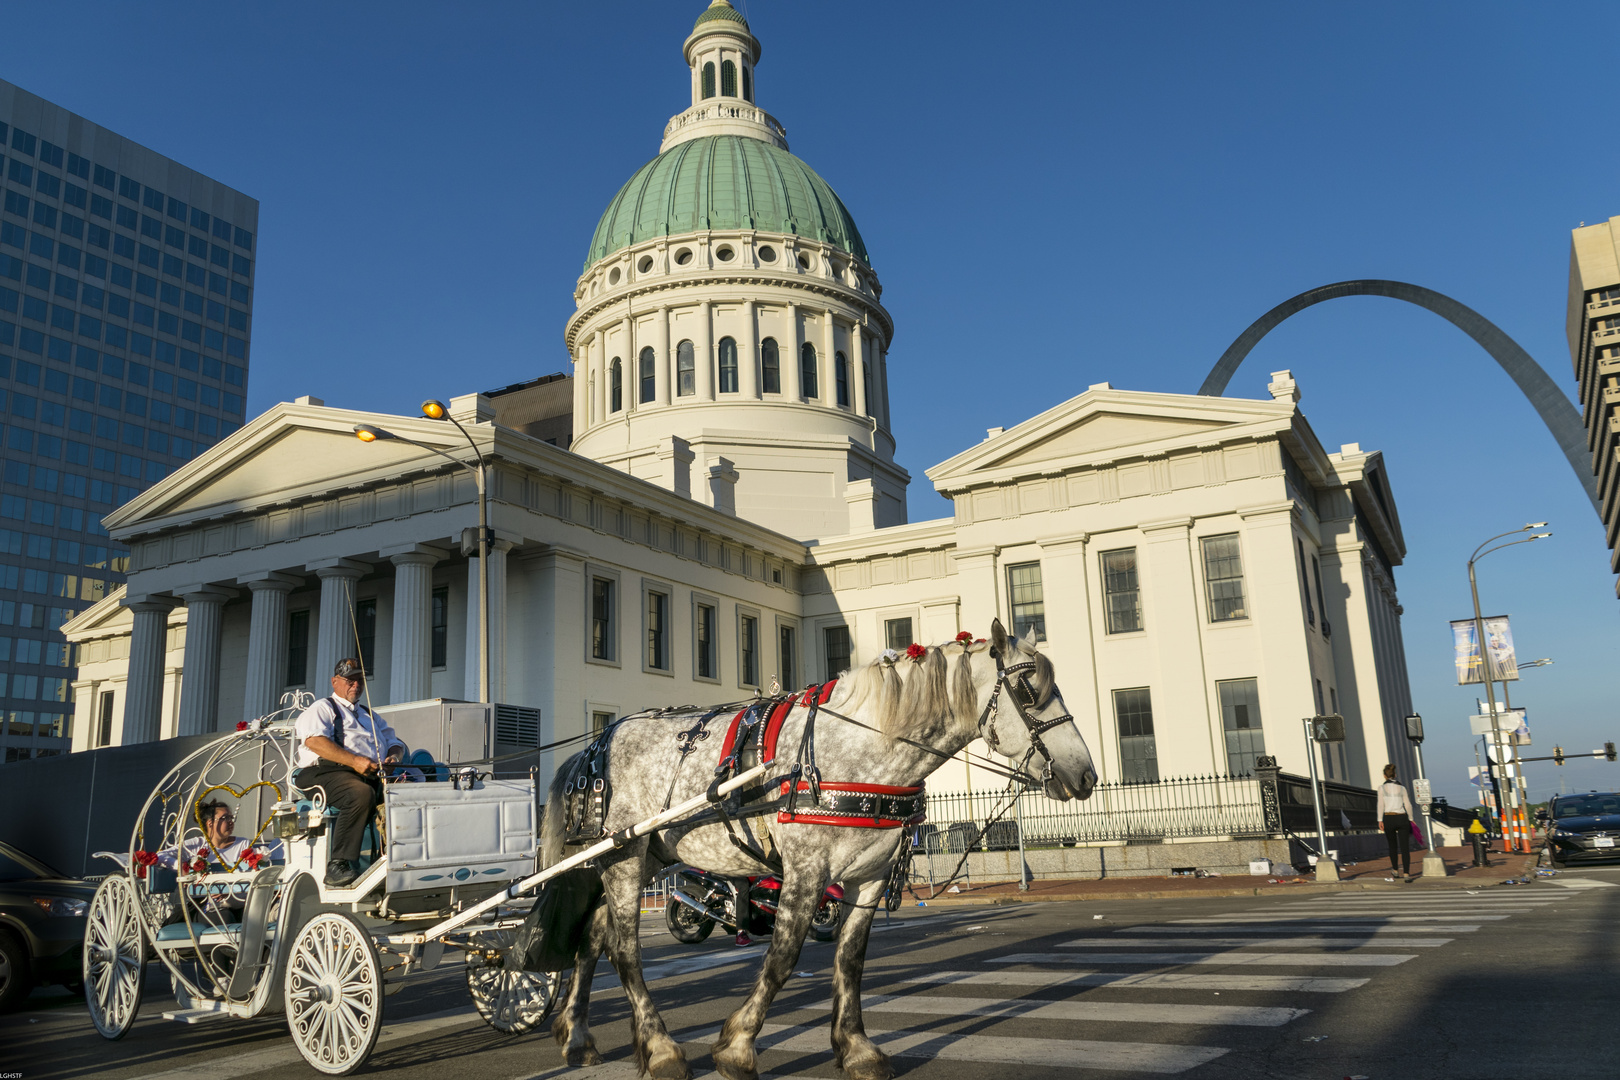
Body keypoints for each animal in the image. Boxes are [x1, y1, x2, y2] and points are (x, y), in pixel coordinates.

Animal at [544, 621, 1101, 1080]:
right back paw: (660, 1049)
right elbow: (783, 958)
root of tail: (592, 747)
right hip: (624, 856)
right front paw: (737, 1048)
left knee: (592, 939)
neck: (865, 748)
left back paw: (578, 1036)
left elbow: (850, 960)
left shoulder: (869, 875)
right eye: (1029, 690)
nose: (1086, 775)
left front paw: (856, 1049)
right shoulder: (807, 871)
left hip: (640, 858)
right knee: (624, 950)